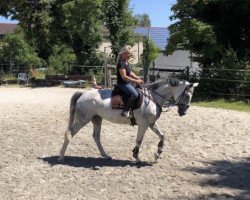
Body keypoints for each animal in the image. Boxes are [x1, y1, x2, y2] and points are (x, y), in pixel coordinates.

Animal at [57, 79, 198, 163]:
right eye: (187, 95)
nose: (183, 112)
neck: (153, 98)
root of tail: (83, 94)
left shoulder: (151, 124)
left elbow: (162, 136)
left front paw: (157, 154)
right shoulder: (143, 124)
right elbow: (139, 140)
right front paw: (136, 156)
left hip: (96, 119)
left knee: (96, 136)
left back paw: (105, 155)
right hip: (83, 119)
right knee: (69, 133)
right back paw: (61, 157)